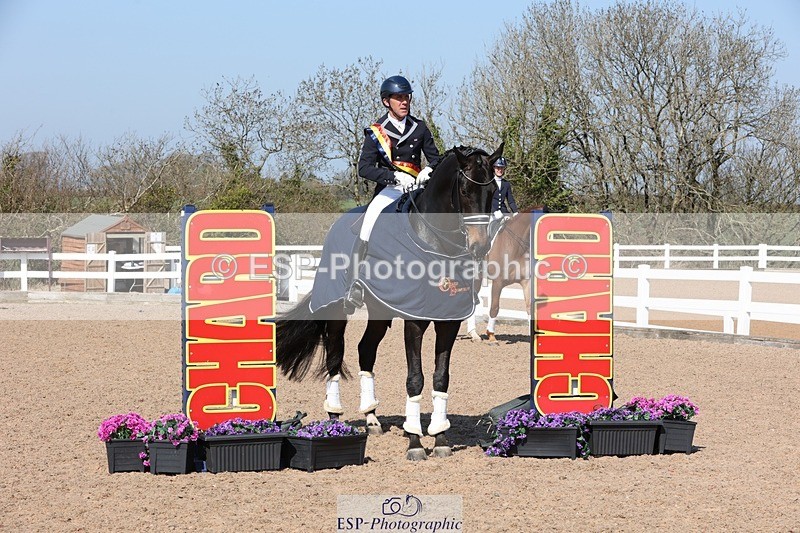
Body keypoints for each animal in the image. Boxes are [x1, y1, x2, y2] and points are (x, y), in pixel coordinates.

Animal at [276, 144, 503, 460]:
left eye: (493, 190)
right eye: (465, 189)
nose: (480, 247)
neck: (436, 244)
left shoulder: (449, 321)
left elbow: (441, 377)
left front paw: (440, 438)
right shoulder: (414, 320)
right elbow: (415, 378)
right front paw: (415, 442)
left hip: (380, 310)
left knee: (365, 350)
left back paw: (372, 419)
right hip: (335, 309)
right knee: (334, 355)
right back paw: (334, 419)